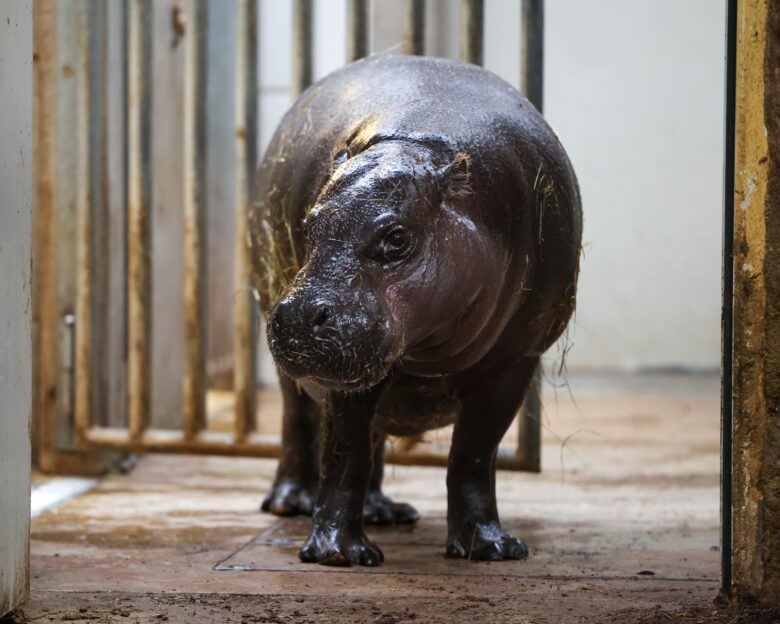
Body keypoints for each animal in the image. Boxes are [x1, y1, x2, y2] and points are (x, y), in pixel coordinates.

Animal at [249, 55, 581, 566]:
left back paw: (385, 512)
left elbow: (473, 455)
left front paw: (492, 548)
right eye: (309, 223)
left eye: (397, 237)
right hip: (301, 362)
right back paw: (291, 503)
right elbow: (344, 454)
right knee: (298, 419)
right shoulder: (347, 370)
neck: (419, 142)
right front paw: (340, 554)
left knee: (375, 435)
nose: (302, 314)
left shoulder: (514, 363)